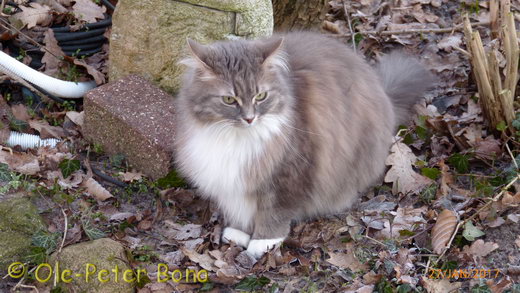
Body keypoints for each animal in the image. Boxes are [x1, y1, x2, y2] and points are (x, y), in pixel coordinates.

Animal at [172, 30, 434, 256]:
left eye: (260, 96)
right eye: (229, 100)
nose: (249, 118)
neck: (236, 139)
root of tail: (383, 93)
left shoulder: (289, 174)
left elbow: (274, 213)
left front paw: (262, 242)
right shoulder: (231, 179)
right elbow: (239, 209)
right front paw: (239, 232)